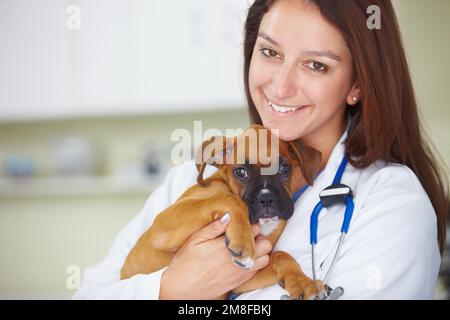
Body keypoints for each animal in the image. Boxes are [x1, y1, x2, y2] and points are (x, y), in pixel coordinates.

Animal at [119, 125, 324, 300]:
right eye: (241, 172)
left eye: (284, 168)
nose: (266, 198)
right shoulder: (163, 225)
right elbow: (230, 199)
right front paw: (242, 240)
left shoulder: (242, 279)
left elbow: (281, 256)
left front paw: (304, 283)